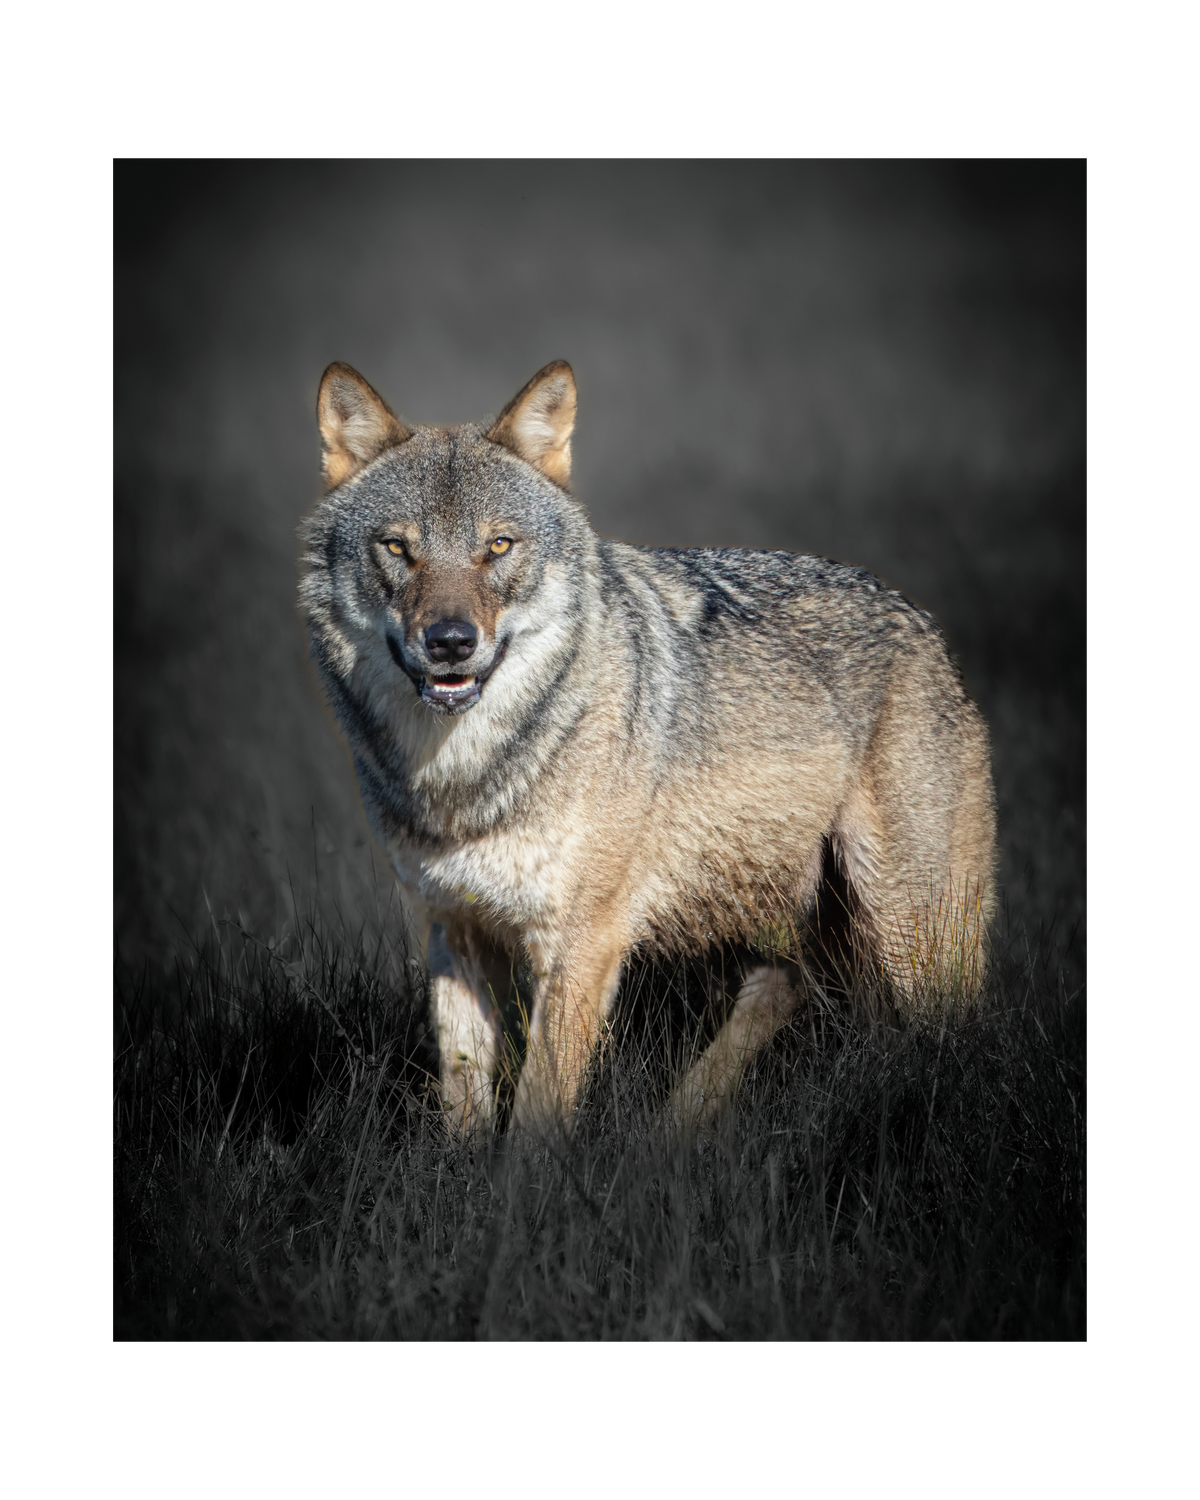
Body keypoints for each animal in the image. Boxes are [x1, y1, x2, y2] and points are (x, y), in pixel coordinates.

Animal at [299, 360, 996, 1139]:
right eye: (398, 548)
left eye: (498, 546)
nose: (450, 642)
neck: (465, 782)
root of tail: (923, 623)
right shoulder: (452, 929)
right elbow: (463, 1103)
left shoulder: (581, 943)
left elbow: (537, 1114)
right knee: (781, 984)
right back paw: (677, 1130)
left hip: (912, 940)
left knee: (949, 1044)